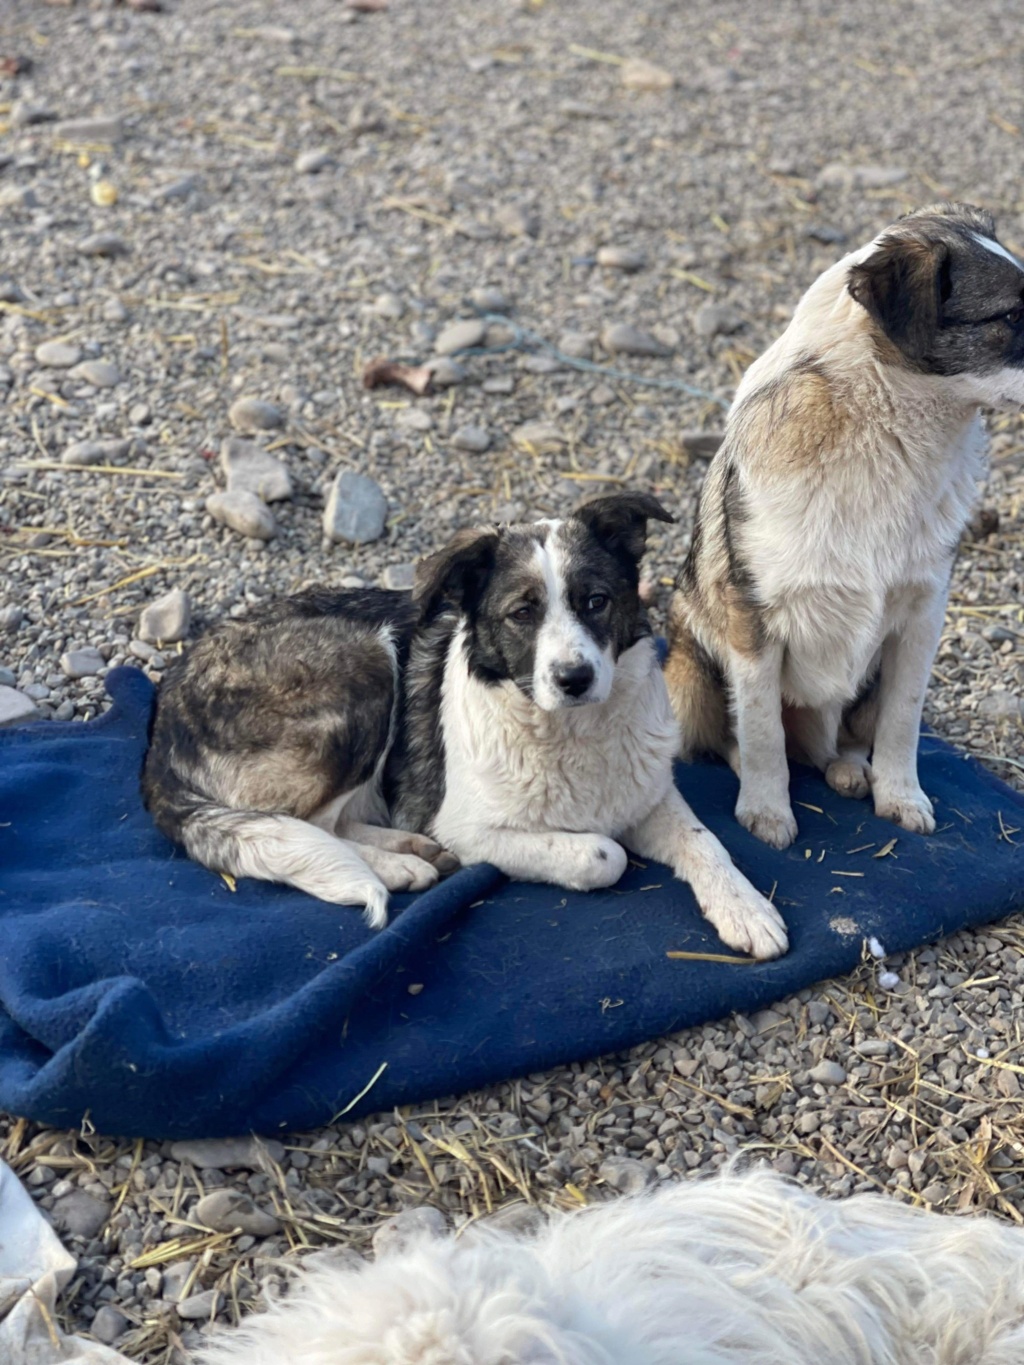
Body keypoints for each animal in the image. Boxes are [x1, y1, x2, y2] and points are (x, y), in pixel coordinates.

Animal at [142, 494, 786, 960]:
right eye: (522, 612)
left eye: (596, 601)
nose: (574, 678)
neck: (569, 733)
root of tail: (165, 704)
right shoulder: (472, 829)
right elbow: (602, 855)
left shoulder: (650, 797)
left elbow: (706, 843)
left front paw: (747, 909)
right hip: (364, 664)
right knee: (310, 825)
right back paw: (400, 863)